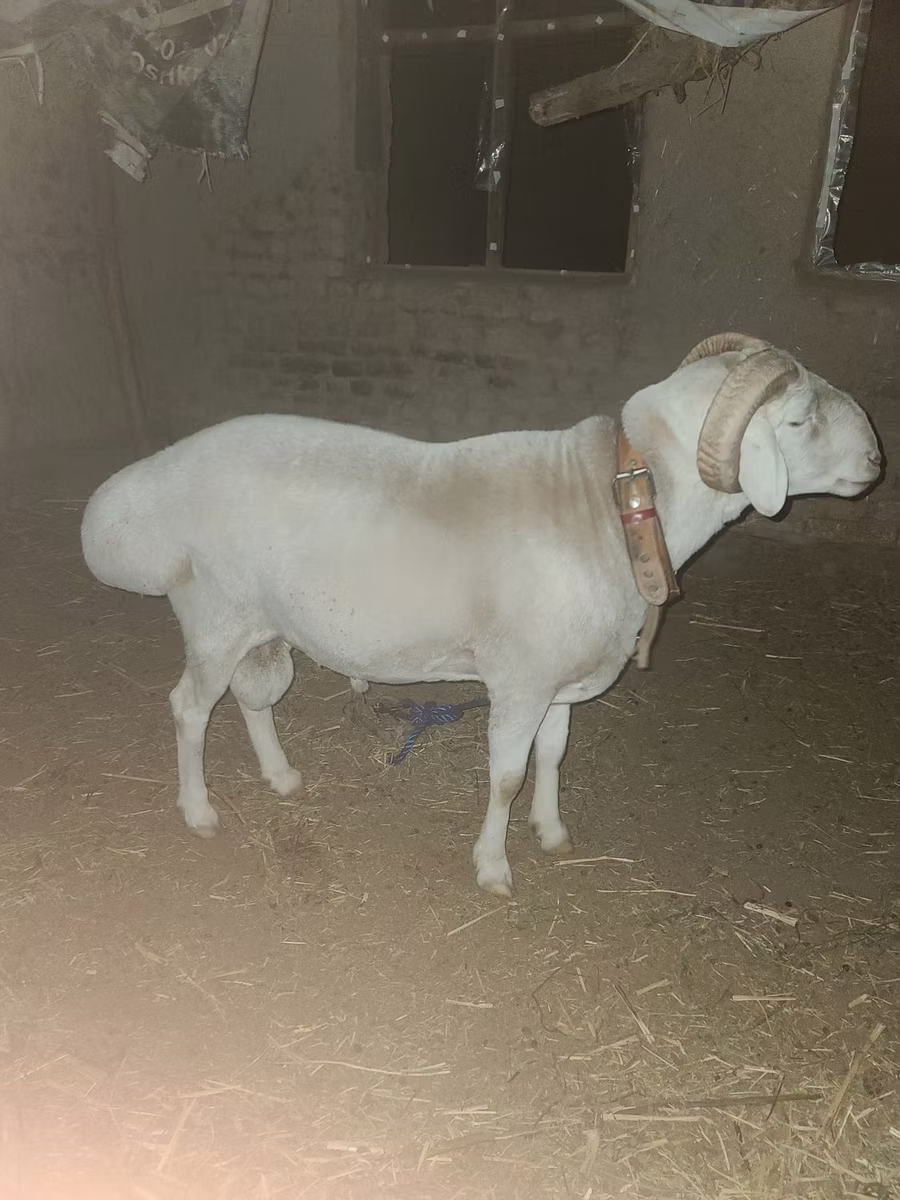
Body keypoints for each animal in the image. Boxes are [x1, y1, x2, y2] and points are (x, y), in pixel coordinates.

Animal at [81, 333, 882, 896]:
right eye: (800, 420)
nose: (877, 460)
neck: (613, 505)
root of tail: (153, 481)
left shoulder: (561, 680)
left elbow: (554, 756)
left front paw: (552, 832)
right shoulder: (520, 681)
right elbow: (506, 774)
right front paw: (493, 866)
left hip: (261, 624)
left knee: (252, 699)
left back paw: (280, 777)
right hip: (214, 616)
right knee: (189, 707)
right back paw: (198, 811)